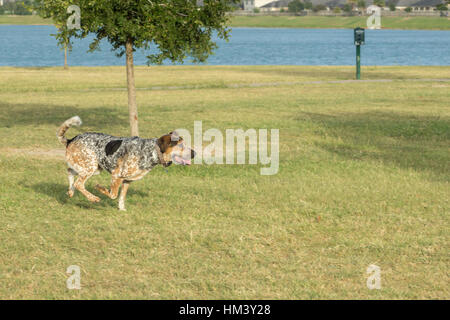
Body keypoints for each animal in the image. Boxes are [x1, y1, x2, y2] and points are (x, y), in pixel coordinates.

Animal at [55, 116, 193, 211]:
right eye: (181, 146)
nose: (194, 153)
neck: (150, 151)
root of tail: (70, 139)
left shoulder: (127, 181)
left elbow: (121, 197)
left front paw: (122, 210)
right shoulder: (117, 175)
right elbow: (113, 194)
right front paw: (100, 188)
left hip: (93, 168)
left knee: (70, 172)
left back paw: (71, 191)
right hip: (91, 167)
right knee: (79, 183)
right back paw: (93, 198)